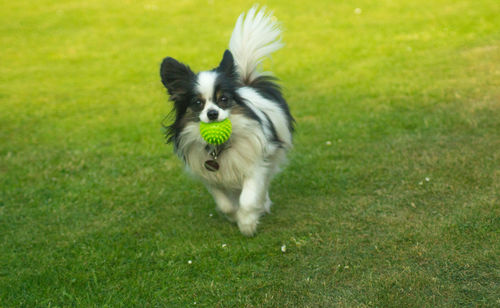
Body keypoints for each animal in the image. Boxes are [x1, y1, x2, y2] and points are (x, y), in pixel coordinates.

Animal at [159, 6, 292, 236]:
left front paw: (247, 224)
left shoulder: (256, 165)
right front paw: (235, 216)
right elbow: (225, 204)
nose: (213, 114)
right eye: (197, 103)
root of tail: (246, 82)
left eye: (223, 99)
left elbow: (248, 198)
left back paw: (263, 204)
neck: (220, 148)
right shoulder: (210, 175)